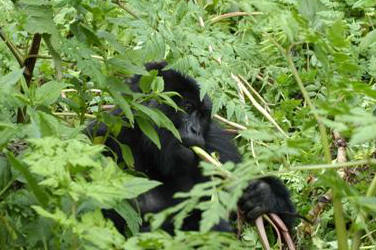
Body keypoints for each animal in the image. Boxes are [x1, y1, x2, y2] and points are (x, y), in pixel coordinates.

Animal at [86, 61, 296, 233]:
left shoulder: (217, 144)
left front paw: (266, 195)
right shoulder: (101, 135)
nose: (196, 130)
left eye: (202, 115)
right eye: (187, 107)